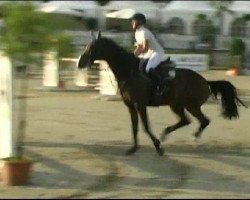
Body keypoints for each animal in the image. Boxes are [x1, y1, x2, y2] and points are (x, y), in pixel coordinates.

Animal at [77, 31, 247, 156]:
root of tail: (205, 81)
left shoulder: (140, 105)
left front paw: (158, 147)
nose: (80, 63)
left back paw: (194, 139)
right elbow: (135, 127)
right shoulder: (131, 106)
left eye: (92, 48)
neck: (129, 72)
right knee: (186, 121)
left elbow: (145, 126)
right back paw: (166, 134)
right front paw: (133, 148)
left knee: (204, 121)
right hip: (176, 105)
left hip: (191, 105)